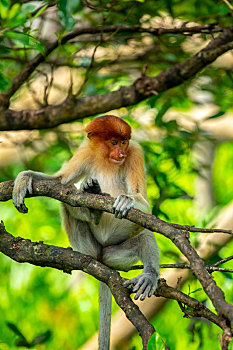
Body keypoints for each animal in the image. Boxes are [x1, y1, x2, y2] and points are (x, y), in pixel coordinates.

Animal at [12, 115, 160, 350]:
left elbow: (143, 201)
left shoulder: (135, 153)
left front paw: (126, 200)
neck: (106, 160)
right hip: (87, 245)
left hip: (117, 254)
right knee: (67, 195)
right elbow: (58, 181)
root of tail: (101, 256)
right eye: (113, 142)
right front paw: (24, 179)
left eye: (124, 142)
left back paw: (149, 275)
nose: (121, 155)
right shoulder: (85, 152)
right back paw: (92, 205)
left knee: (144, 232)